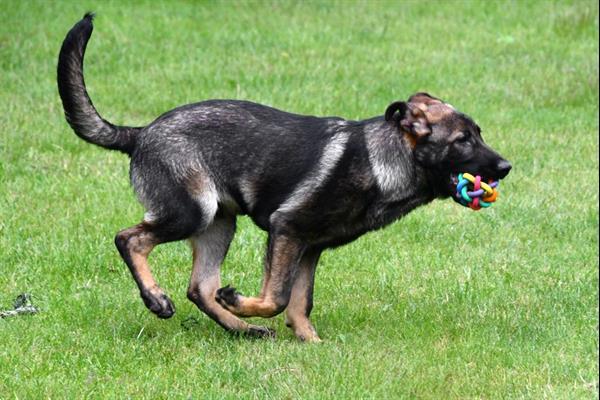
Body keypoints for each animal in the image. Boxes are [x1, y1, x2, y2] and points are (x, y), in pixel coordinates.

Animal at [57, 14, 510, 342]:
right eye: (463, 141)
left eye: (479, 133)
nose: (507, 167)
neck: (384, 160)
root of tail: (141, 133)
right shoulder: (287, 229)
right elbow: (276, 297)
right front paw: (242, 300)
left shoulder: (310, 248)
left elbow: (299, 303)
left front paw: (310, 342)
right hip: (192, 212)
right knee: (130, 239)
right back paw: (158, 299)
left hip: (220, 222)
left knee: (199, 288)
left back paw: (242, 329)